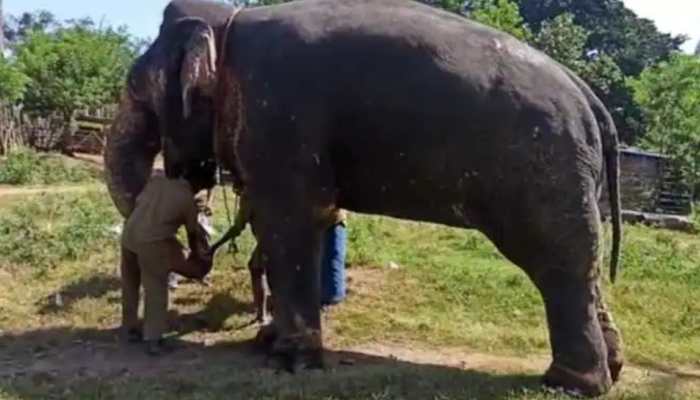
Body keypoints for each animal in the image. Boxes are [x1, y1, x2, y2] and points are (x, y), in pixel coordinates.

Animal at [105, 0, 624, 396]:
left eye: (139, 93)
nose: (202, 251)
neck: (227, 23)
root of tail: (590, 98)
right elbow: (301, 224)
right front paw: (267, 342)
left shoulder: (279, 116)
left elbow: (291, 223)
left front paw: (289, 361)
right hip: (573, 177)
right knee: (586, 264)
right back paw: (610, 371)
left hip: (543, 168)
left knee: (558, 263)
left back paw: (569, 383)